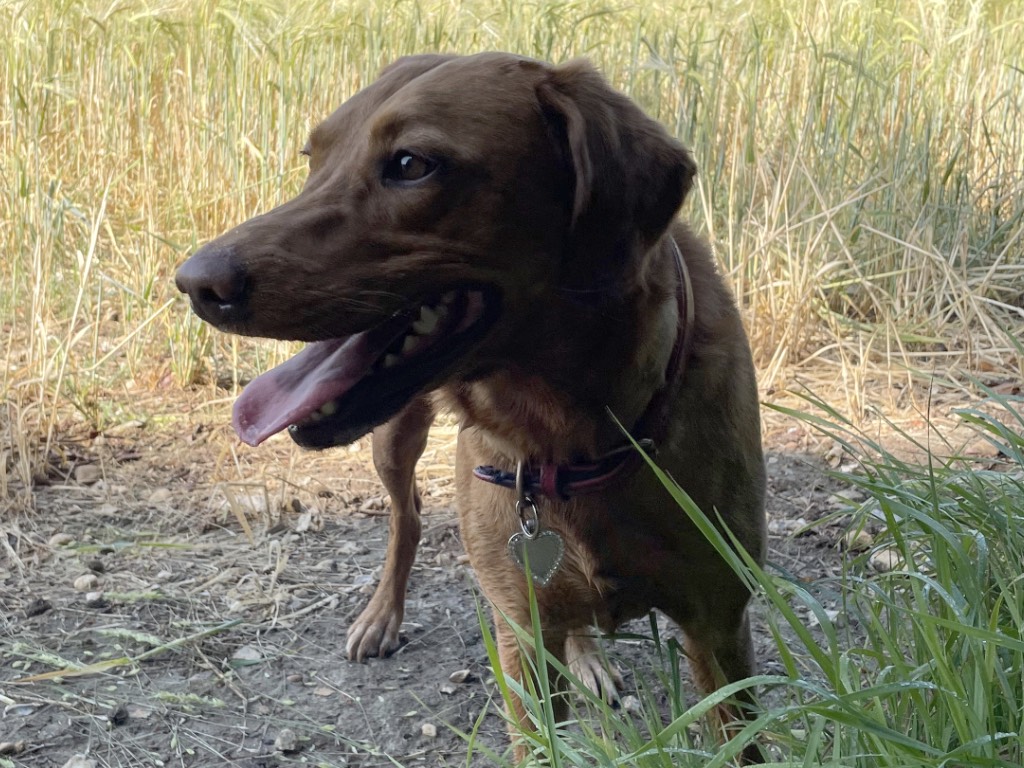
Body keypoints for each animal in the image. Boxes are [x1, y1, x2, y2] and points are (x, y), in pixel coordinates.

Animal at [178, 51, 770, 761]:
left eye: (412, 163)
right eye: (311, 157)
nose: (194, 283)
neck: (570, 439)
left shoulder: (720, 625)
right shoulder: (522, 641)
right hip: (393, 441)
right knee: (405, 516)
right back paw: (382, 616)